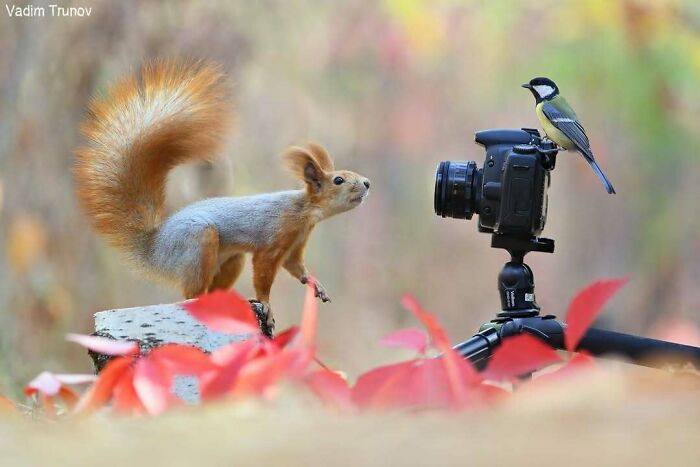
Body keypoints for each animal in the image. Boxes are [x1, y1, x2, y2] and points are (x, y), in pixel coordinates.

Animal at [74, 59, 370, 334]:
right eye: (339, 180)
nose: (367, 183)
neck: (305, 210)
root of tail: (154, 249)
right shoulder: (276, 238)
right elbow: (264, 273)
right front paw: (266, 304)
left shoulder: (295, 244)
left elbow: (295, 266)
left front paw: (314, 283)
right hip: (198, 243)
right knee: (191, 293)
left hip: (230, 259)